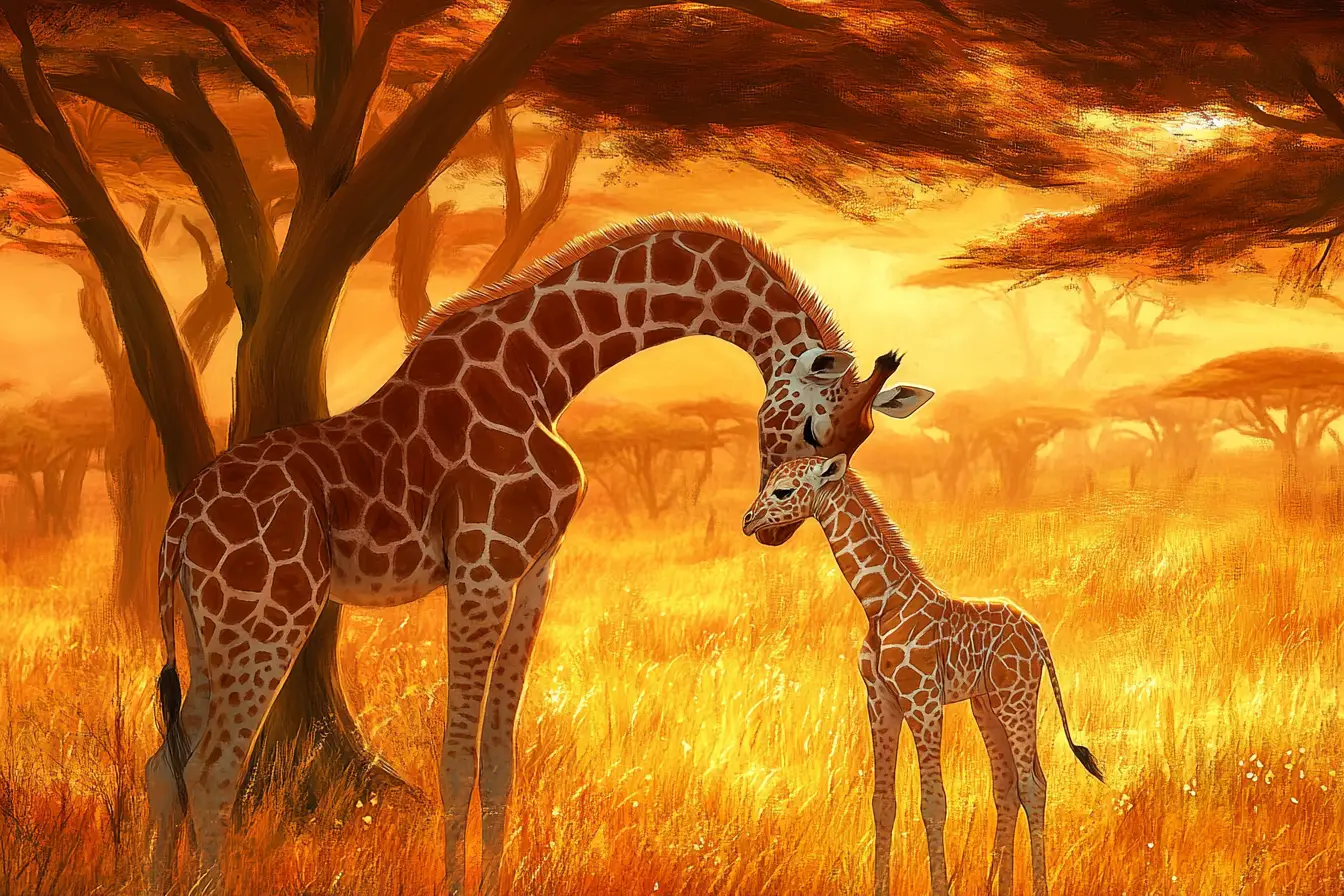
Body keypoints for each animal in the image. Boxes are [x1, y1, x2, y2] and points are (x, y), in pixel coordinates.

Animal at [143, 214, 935, 893]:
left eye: (859, 440)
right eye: (813, 429)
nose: (773, 527)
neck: (542, 368)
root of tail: (177, 521)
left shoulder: (533, 572)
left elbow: (498, 761)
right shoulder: (481, 566)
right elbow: (455, 762)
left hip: (211, 630)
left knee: (164, 769)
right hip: (266, 617)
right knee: (212, 773)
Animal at [741, 454, 1105, 896]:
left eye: (783, 491)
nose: (747, 521)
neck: (881, 605)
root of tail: (1037, 632)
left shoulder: (923, 701)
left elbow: (933, 802)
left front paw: (940, 887)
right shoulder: (880, 701)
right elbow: (882, 802)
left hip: (1016, 698)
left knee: (1032, 786)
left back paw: (1037, 888)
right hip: (987, 706)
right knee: (1007, 787)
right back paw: (997, 888)